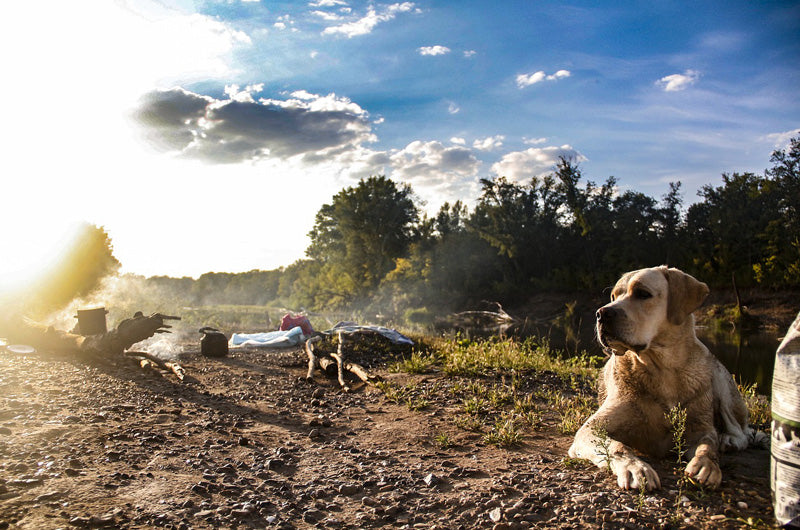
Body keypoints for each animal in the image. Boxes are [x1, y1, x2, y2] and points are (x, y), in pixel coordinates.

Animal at [568, 266, 756, 488]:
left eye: (642, 293)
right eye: (614, 296)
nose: (601, 313)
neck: (662, 369)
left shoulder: (700, 428)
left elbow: (708, 445)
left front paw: (707, 464)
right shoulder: (591, 429)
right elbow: (617, 446)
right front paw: (635, 467)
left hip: (720, 379)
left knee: (741, 430)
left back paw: (729, 440)